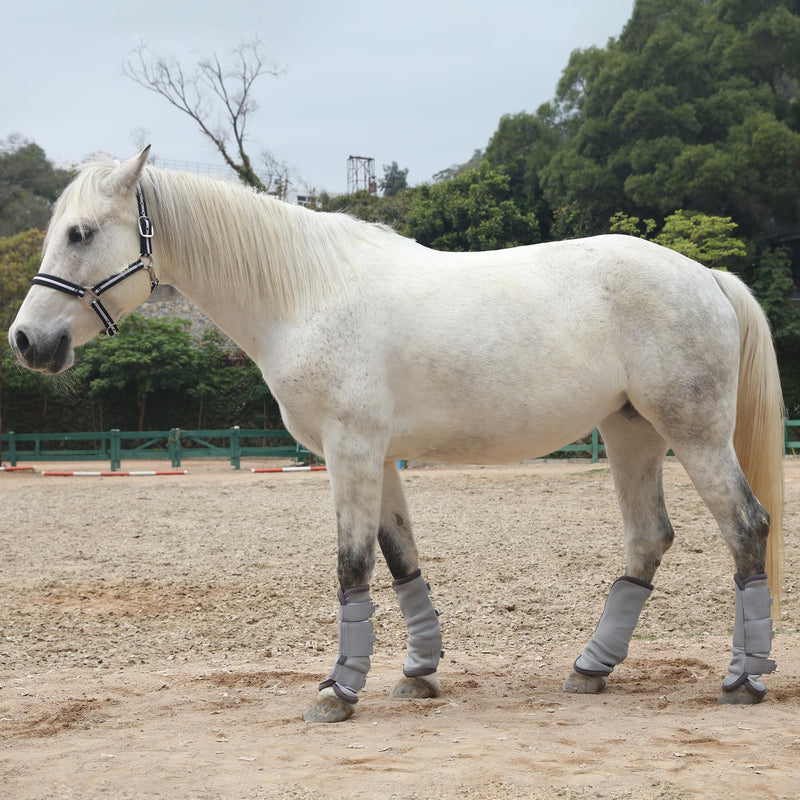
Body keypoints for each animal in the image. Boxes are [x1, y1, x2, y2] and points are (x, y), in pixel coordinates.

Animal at [9, 148, 784, 723]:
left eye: (81, 233)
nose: (27, 342)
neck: (306, 294)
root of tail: (704, 275)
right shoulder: (377, 459)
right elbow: (400, 557)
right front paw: (417, 673)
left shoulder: (350, 451)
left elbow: (352, 564)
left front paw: (337, 691)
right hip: (631, 435)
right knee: (649, 540)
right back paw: (591, 668)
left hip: (694, 434)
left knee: (746, 528)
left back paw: (742, 680)